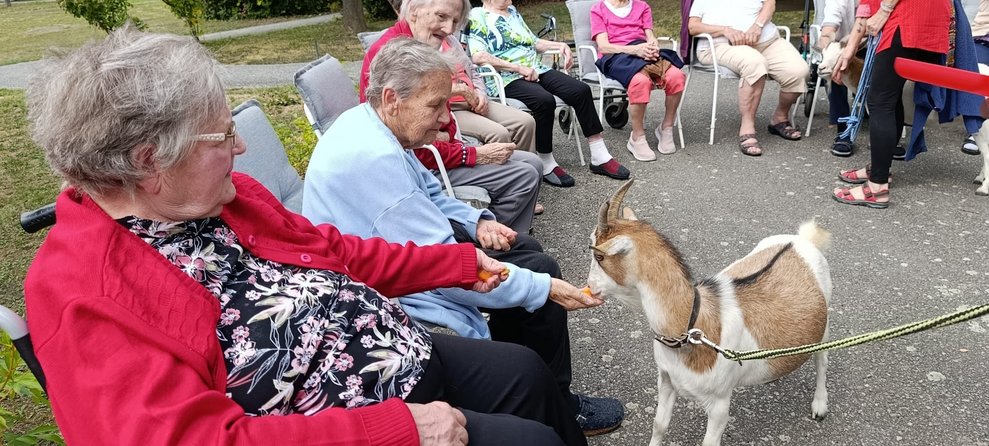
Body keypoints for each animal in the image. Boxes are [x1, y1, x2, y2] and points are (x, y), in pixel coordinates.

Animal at [586, 181, 833, 446]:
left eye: (599, 255)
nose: (590, 286)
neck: (690, 325)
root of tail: (802, 240)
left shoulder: (719, 404)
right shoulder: (666, 379)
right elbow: (659, 425)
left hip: (824, 325)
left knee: (822, 360)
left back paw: (820, 405)